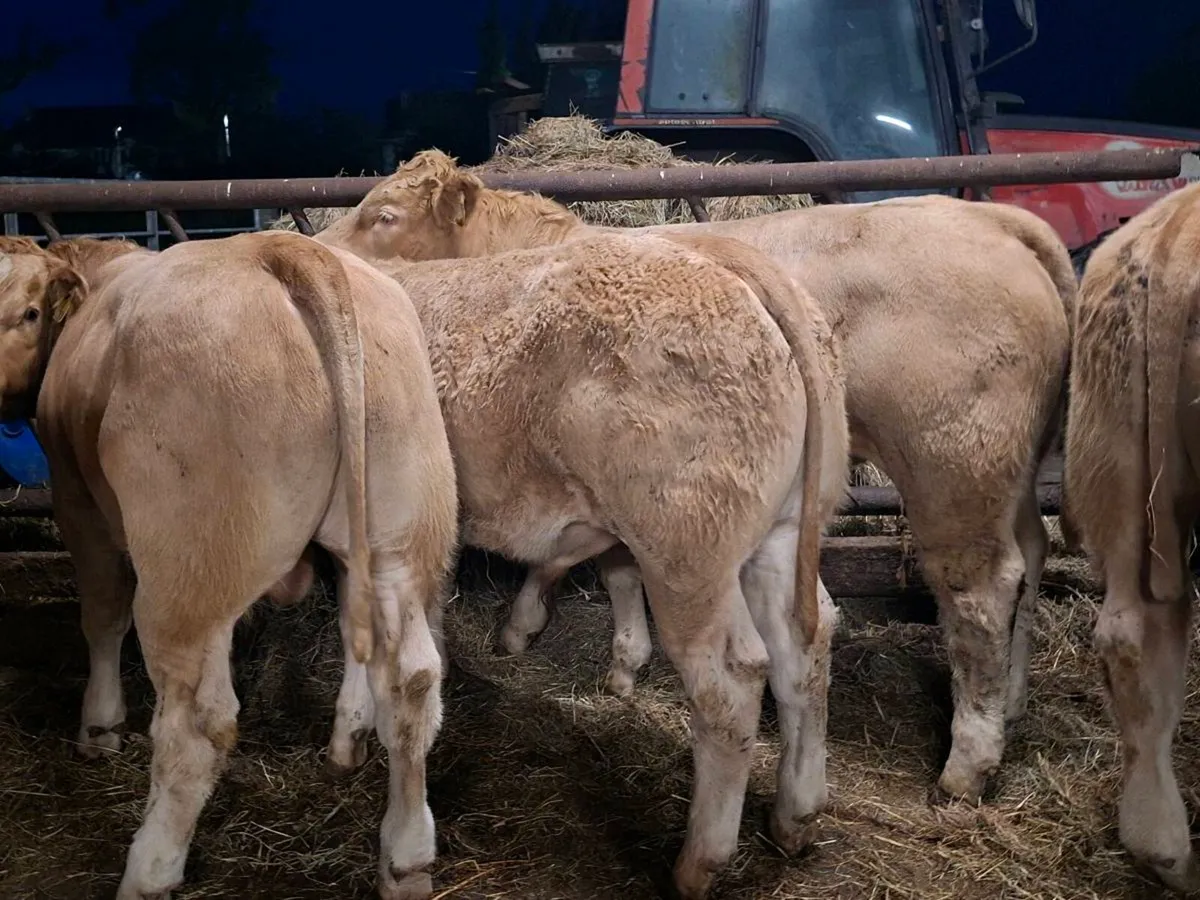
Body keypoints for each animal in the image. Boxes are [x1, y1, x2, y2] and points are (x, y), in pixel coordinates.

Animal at [0, 232, 459, 900]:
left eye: (28, 312)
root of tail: (286, 248)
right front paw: (347, 736)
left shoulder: (77, 503)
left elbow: (102, 618)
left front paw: (99, 728)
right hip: (396, 534)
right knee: (412, 681)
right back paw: (405, 856)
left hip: (187, 571)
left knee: (196, 726)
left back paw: (149, 871)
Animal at [311, 149, 1075, 804]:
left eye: (384, 216)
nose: (324, 249)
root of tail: (998, 221)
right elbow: (613, 565)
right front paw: (615, 656)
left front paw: (533, 626)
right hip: (1009, 475)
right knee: (1030, 558)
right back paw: (1012, 702)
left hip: (954, 470)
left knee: (978, 593)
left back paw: (967, 762)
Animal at [313, 222, 850, 899]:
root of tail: (729, 262)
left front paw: (347, 735)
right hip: (783, 532)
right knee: (806, 648)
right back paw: (796, 814)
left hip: (686, 551)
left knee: (732, 682)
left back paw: (698, 863)